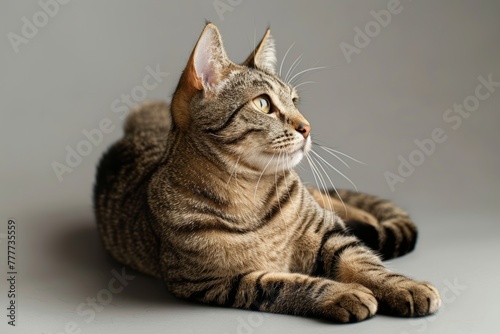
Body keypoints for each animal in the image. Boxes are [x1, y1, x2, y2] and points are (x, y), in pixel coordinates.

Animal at [94, 22, 442, 320]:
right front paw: (341, 294)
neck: (250, 192)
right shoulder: (214, 281)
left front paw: (404, 286)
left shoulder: (327, 233)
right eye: (263, 104)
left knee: (342, 207)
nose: (307, 127)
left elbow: (364, 262)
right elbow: (284, 285)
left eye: (295, 101)